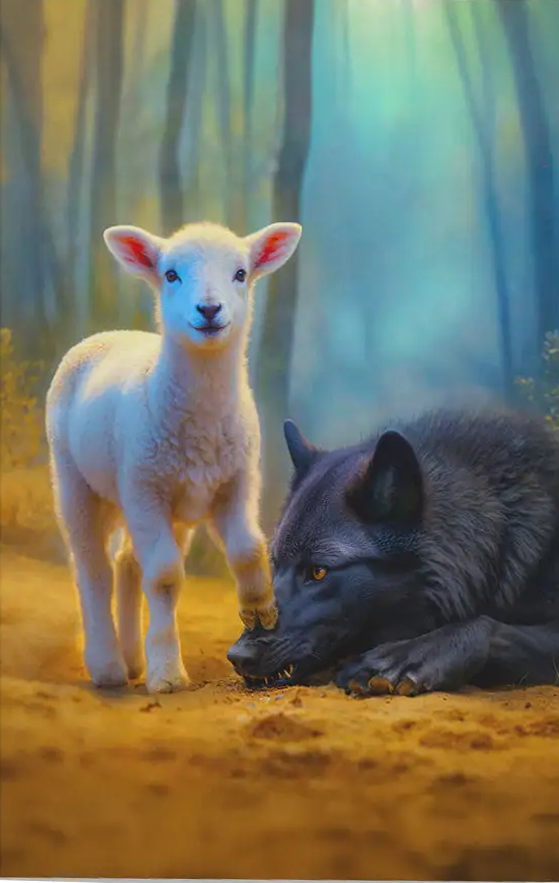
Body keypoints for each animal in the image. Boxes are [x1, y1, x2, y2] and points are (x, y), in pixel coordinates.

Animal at [45, 220, 302, 694]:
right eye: (170, 275)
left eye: (241, 273)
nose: (209, 309)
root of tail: (108, 334)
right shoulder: (145, 489)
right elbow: (165, 576)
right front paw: (166, 672)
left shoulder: (237, 481)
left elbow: (248, 547)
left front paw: (260, 610)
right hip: (78, 480)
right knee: (93, 569)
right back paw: (107, 664)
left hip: (172, 504)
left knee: (128, 562)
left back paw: (132, 657)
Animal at [227, 408, 559, 695]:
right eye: (274, 565)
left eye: (318, 571)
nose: (238, 656)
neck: (500, 535)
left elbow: (485, 624)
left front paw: (404, 659)